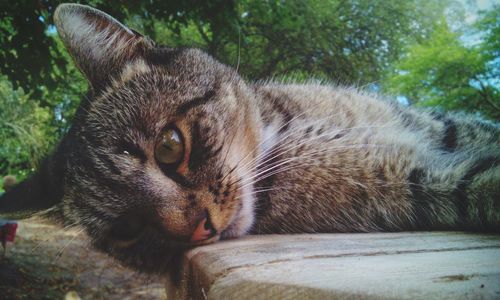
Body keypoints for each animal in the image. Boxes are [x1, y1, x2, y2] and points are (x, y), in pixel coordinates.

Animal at [0, 2, 500, 274]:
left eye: (169, 147)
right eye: (128, 229)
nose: (199, 228)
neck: (283, 122)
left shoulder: (437, 126)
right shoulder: (413, 178)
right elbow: (477, 181)